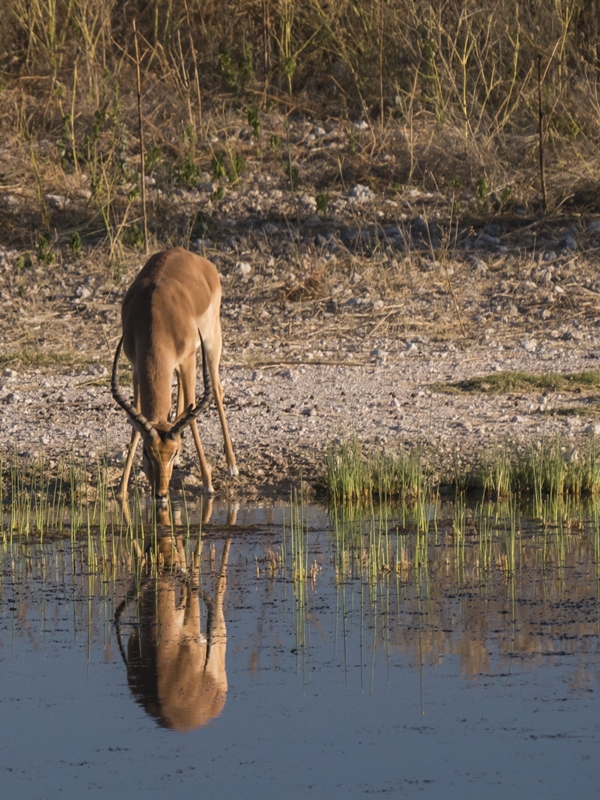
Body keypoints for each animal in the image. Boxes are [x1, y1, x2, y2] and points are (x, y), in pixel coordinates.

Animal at [111, 247, 238, 504]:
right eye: (147, 453)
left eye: (171, 452)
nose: (160, 494)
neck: (155, 316)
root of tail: (188, 254)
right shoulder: (136, 366)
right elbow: (135, 422)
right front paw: (121, 491)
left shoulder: (189, 358)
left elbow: (193, 412)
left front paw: (208, 484)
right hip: (177, 365)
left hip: (211, 341)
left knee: (217, 390)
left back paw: (232, 465)